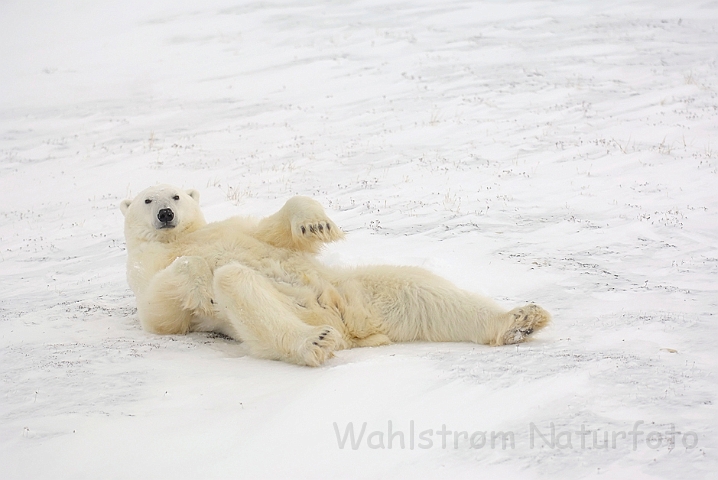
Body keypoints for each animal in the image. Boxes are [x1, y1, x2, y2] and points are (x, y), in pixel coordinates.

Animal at [122, 186, 552, 366]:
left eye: (176, 196)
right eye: (147, 199)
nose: (165, 214)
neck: (182, 237)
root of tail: (351, 328)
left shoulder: (236, 228)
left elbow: (277, 231)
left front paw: (315, 223)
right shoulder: (146, 267)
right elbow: (161, 311)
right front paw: (198, 282)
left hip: (359, 292)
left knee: (421, 290)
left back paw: (520, 319)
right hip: (301, 310)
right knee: (235, 281)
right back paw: (313, 341)